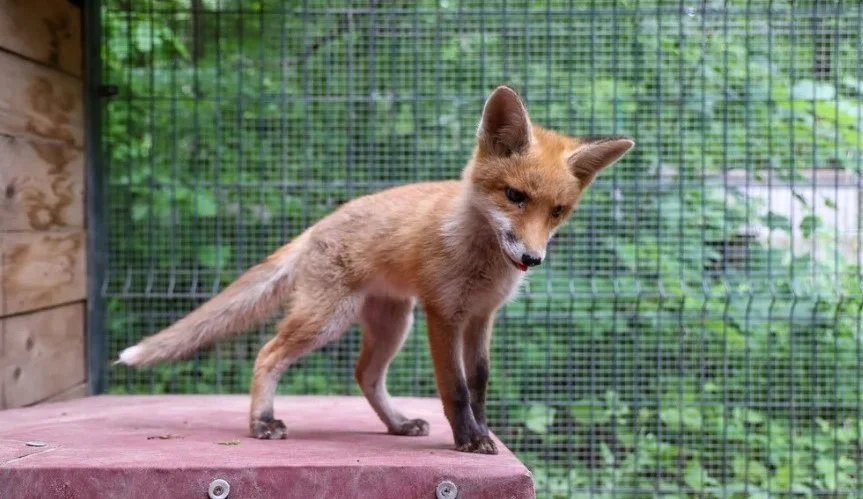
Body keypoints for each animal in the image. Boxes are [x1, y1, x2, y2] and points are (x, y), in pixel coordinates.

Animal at [118, 87, 636, 458]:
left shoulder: (481, 317)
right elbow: (456, 388)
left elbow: (480, 382)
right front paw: (469, 440)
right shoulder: (443, 313)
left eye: (557, 212)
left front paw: (484, 430)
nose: (532, 259)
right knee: (268, 353)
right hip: (329, 319)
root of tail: (317, 226)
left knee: (365, 374)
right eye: (514, 196)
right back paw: (262, 422)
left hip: (392, 323)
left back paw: (397, 423)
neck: (482, 262)